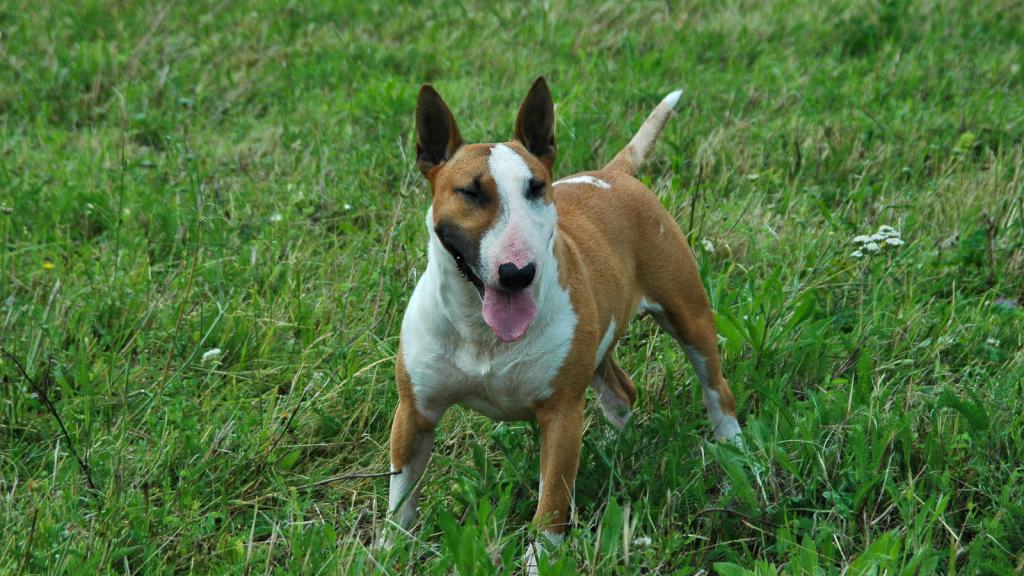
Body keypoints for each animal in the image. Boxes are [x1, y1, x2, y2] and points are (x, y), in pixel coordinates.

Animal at [387, 76, 741, 565]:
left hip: (686, 311)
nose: (518, 274)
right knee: (622, 391)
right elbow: (401, 498)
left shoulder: (560, 414)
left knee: (716, 388)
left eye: (536, 188)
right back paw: (617, 449)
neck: (482, 333)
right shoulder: (414, 412)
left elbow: (552, 504)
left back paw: (739, 455)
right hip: (596, 340)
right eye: (471, 192)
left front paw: (539, 562)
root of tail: (613, 174)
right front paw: (386, 553)